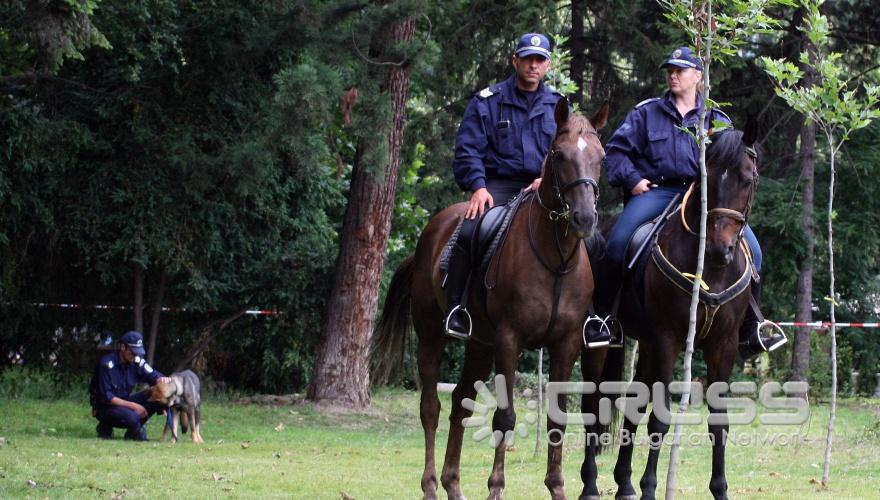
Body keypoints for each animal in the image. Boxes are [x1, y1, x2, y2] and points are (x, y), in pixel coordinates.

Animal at [374, 98, 608, 500]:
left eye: (601, 156)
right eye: (558, 154)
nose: (583, 218)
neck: (556, 257)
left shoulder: (565, 345)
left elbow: (557, 418)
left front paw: (557, 488)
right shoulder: (508, 341)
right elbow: (505, 415)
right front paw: (496, 488)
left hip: (479, 346)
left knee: (458, 404)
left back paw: (453, 486)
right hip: (432, 337)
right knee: (431, 408)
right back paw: (431, 486)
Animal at [604, 127, 764, 498]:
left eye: (748, 179)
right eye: (708, 181)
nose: (721, 249)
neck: (710, 269)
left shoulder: (723, 344)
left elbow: (719, 422)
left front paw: (720, 488)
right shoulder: (668, 339)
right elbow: (660, 418)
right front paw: (650, 487)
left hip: (647, 345)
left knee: (634, 402)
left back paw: (624, 482)